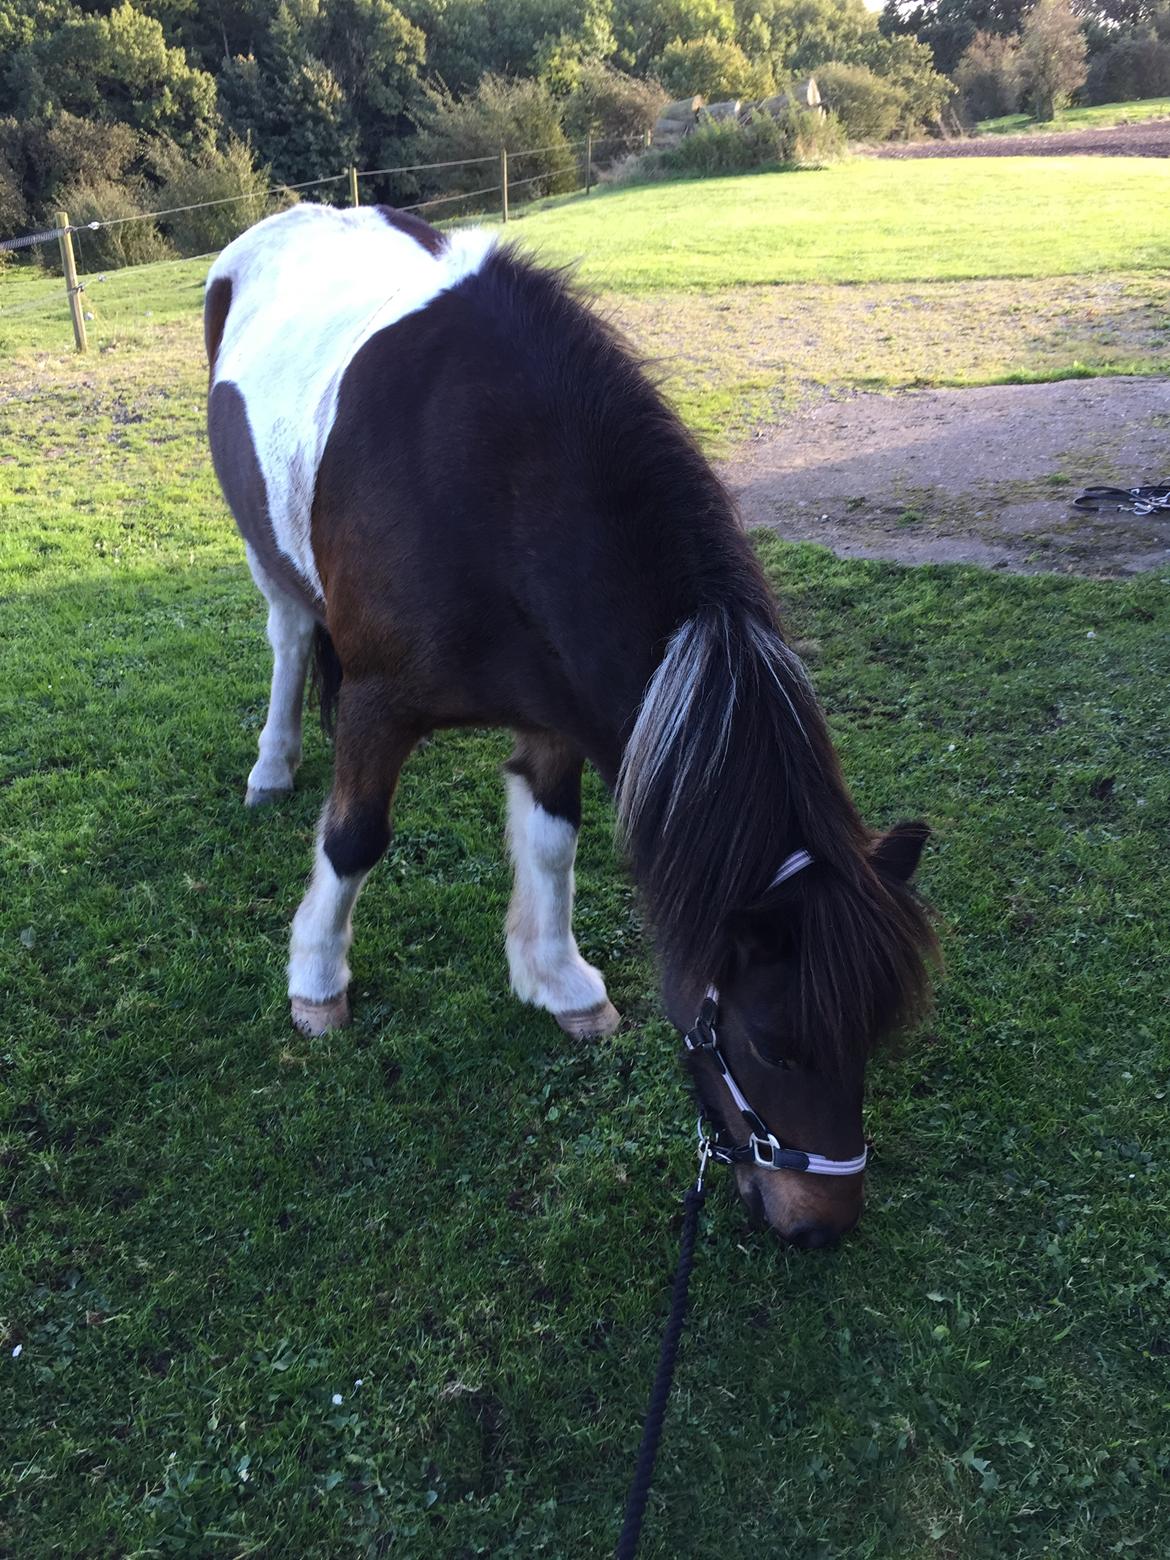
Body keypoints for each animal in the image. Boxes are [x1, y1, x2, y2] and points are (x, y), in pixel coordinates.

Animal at [201, 207, 935, 1248]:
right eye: (772, 1043)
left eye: (870, 1035)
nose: (821, 1225)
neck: (486, 478)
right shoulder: (380, 702)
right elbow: (353, 841)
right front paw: (317, 981)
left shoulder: (552, 713)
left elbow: (551, 844)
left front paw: (558, 982)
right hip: (267, 556)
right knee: (290, 635)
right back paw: (273, 765)